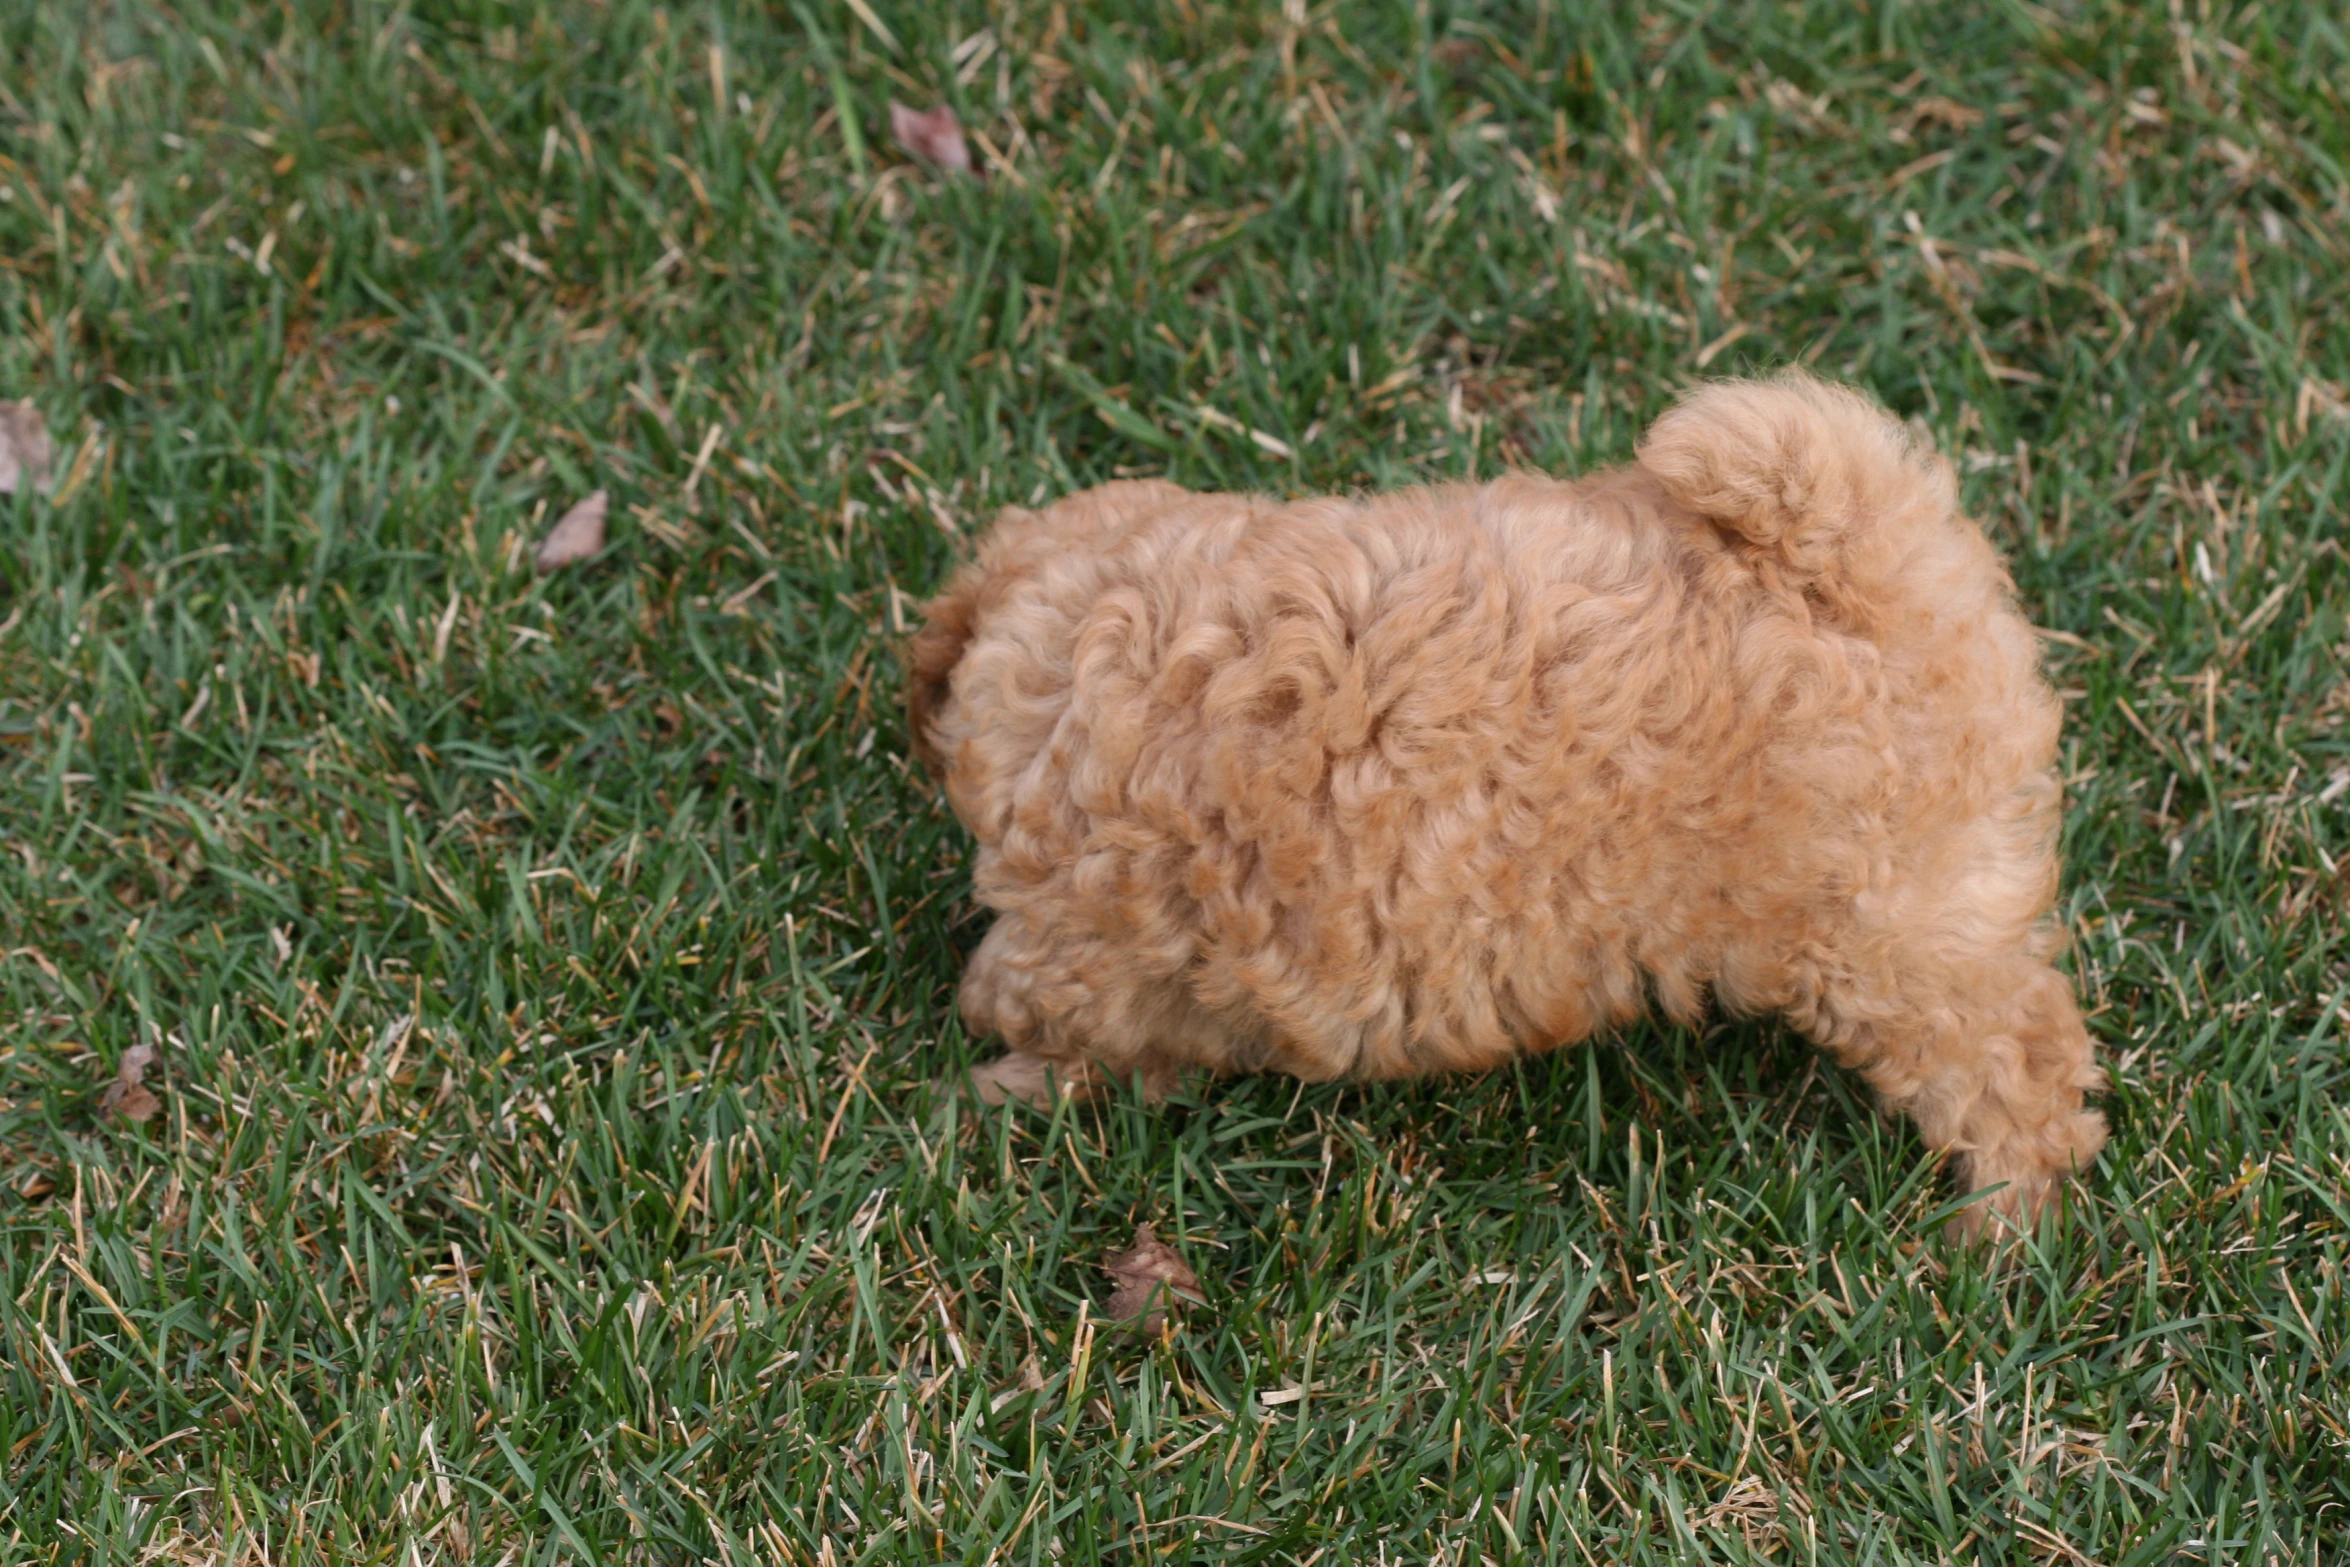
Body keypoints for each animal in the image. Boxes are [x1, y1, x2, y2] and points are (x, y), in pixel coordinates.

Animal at [907, 373, 2105, 1231]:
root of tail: (1867, 560)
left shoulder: (1095, 948)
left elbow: (1052, 1018)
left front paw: (991, 1086)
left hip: (1893, 932)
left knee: (2016, 1064)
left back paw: (2001, 1224)